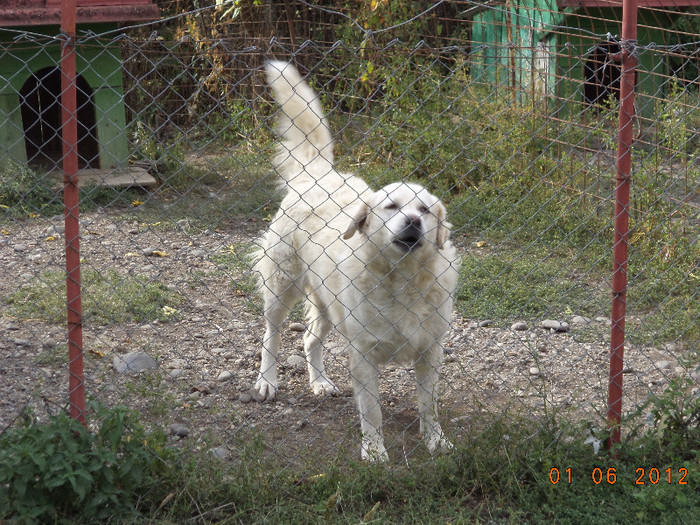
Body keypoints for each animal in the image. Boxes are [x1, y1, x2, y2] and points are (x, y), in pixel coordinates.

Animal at [252, 60, 460, 458]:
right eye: (391, 206)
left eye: (425, 210)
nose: (412, 222)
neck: (402, 281)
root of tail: (319, 172)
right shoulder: (363, 356)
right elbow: (372, 410)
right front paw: (375, 452)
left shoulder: (430, 351)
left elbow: (429, 405)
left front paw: (436, 440)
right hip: (282, 286)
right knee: (271, 335)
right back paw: (266, 381)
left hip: (327, 304)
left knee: (310, 340)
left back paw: (319, 381)